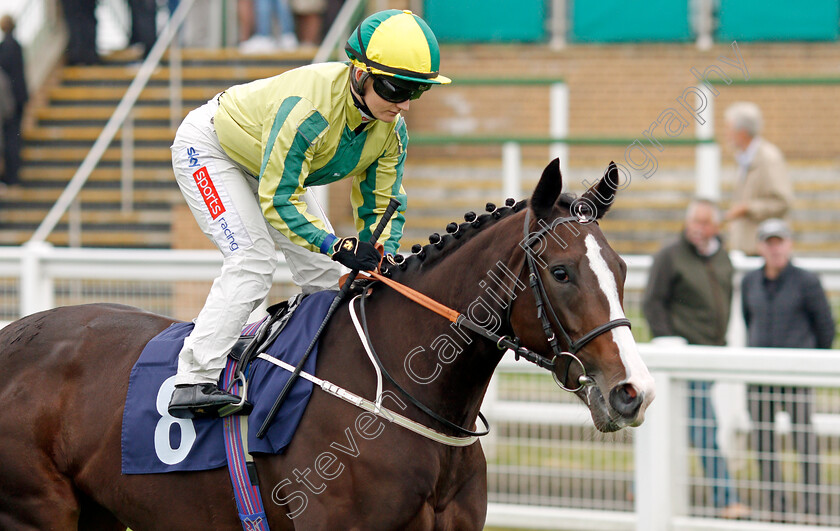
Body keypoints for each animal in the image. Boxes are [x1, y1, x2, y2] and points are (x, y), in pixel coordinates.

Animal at [0, 160, 652, 528]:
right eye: (562, 272)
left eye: (622, 270)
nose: (633, 392)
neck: (399, 391)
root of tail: (14, 334)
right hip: (37, 510)